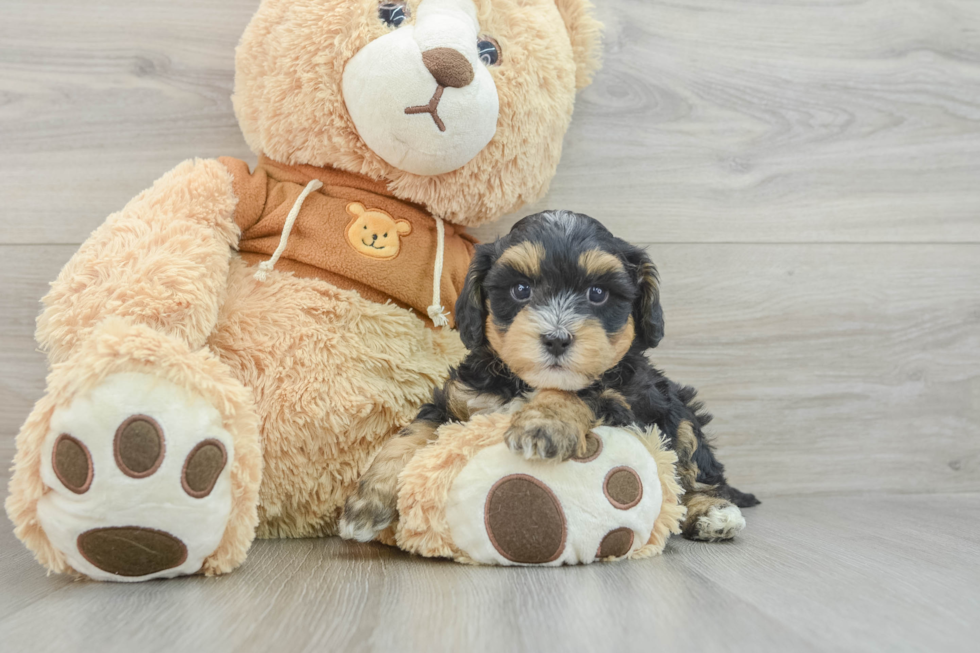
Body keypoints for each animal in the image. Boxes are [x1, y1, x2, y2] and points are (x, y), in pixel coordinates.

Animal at [340, 211, 760, 544]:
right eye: (520, 289)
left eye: (598, 293)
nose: (557, 339)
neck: (525, 382)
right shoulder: (457, 402)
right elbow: (409, 435)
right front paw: (366, 503)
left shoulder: (628, 398)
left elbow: (578, 393)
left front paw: (543, 425)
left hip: (680, 412)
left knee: (697, 470)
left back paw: (713, 513)